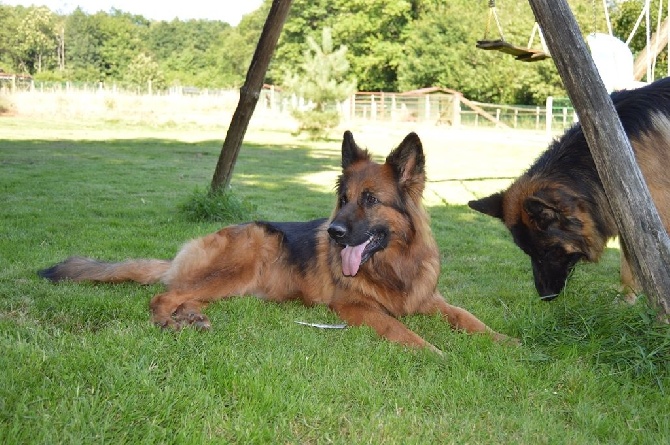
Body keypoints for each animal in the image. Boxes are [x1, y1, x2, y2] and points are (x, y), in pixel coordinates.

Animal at [38, 130, 510, 352]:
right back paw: (171, 323)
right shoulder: (354, 308)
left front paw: (507, 342)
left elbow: (469, 317)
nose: (334, 233)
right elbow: (400, 329)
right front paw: (433, 351)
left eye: (371, 200)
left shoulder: (429, 299)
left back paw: (192, 317)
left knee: (184, 294)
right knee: (162, 296)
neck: (391, 264)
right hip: (247, 258)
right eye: (343, 199)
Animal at [470, 78, 670, 302]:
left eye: (549, 251)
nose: (545, 297)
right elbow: (630, 264)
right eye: (528, 253)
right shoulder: (632, 225)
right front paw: (629, 299)